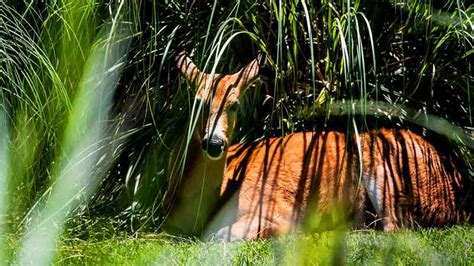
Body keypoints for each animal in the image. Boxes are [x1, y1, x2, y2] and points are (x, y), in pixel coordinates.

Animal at [165, 51, 472, 240]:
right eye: (198, 102)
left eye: (234, 104)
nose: (214, 143)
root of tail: (460, 184)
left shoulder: (273, 208)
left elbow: (221, 235)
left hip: (387, 168)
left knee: (395, 228)